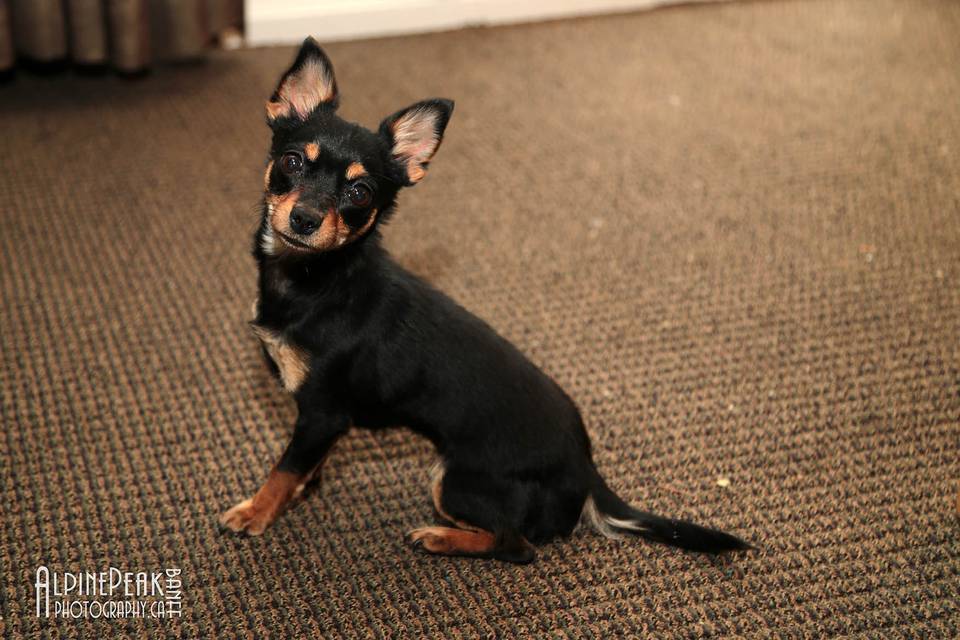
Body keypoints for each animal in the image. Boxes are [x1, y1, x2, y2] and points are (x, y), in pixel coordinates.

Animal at [219, 37, 752, 564]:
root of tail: (586, 472)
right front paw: (301, 492)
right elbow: (305, 464)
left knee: (516, 544)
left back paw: (441, 538)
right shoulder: (321, 420)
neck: (317, 278)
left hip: (454, 479)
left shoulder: (323, 411)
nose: (306, 218)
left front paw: (257, 511)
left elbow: (284, 468)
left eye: (360, 192)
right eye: (292, 162)